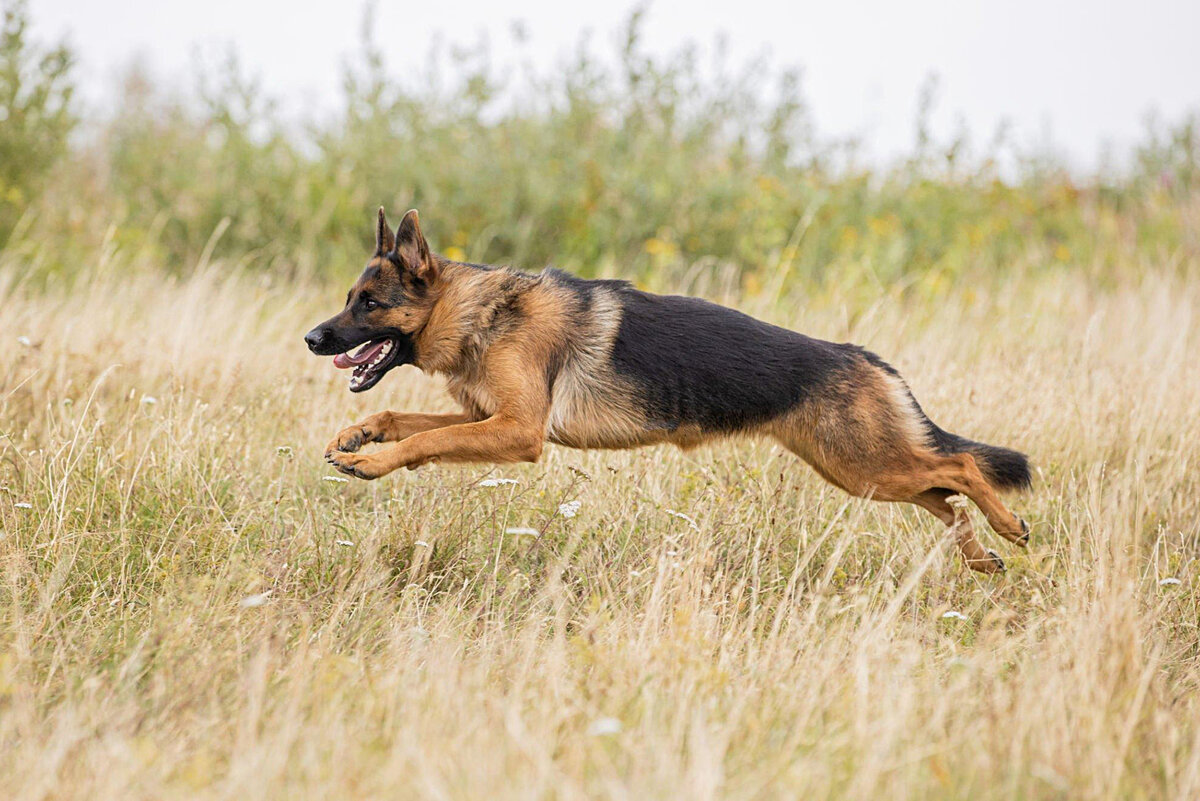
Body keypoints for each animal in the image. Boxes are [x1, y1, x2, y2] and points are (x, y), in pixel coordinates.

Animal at [302, 206, 1032, 568]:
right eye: (349, 299)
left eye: (369, 303)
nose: (311, 338)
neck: (478, 310)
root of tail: (861, 355)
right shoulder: (490, 420)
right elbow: (402, 417)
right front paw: (359, 437)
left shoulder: (516, 432)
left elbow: (426, 441)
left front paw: (373, 464)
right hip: (864, 473)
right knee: (945, 498)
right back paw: (982, 556)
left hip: (866, 464)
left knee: (961, 468)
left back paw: (1008, 525)